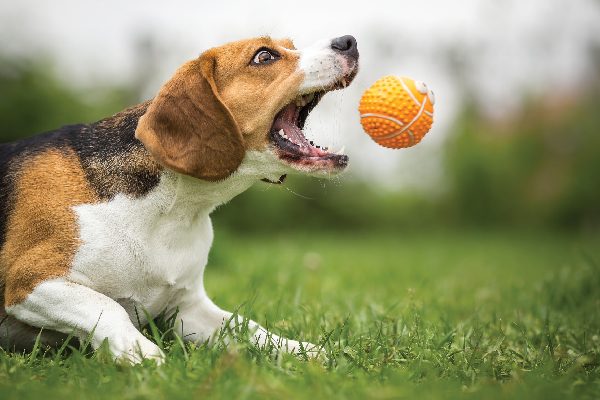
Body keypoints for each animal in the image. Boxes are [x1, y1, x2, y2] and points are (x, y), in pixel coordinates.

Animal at [0, 36, 356, 364]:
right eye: (264, 56)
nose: (348, 42)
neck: (170, 211)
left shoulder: (187, 310)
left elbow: (247, 326)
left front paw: (301, 350)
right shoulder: (30, 283)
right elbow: (108, 305)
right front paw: (143, 354)